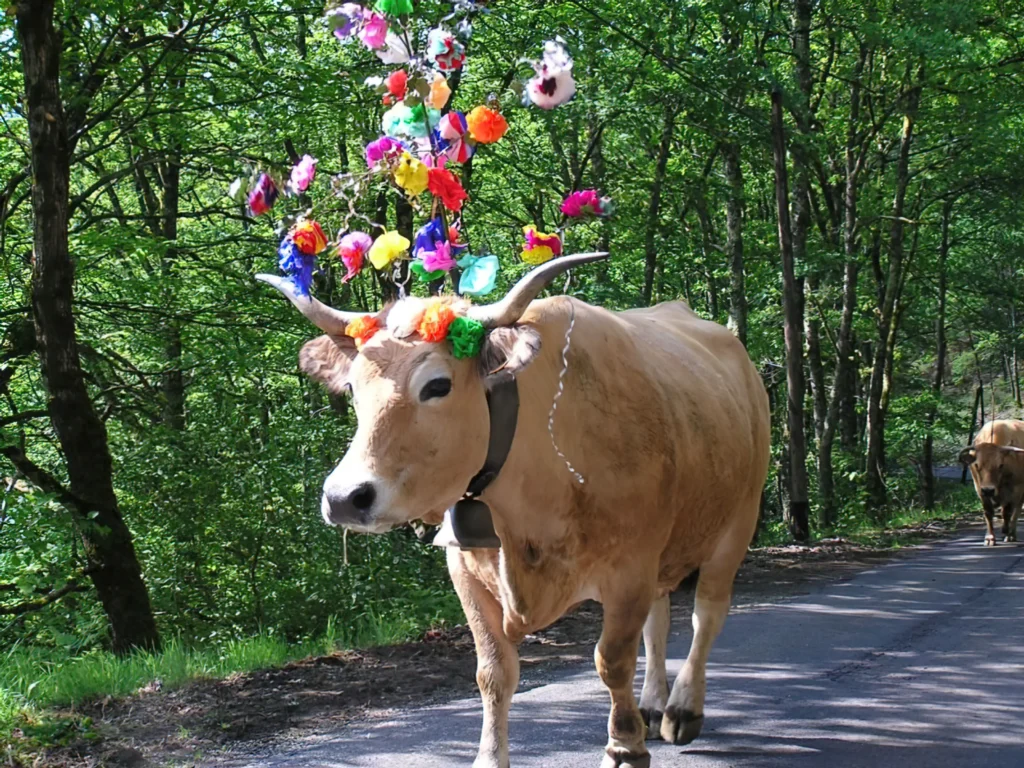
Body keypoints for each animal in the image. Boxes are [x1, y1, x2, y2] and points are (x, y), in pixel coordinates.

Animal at [257, 253, 770, 768]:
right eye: (353, 389)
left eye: (437, 385)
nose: (344, 497)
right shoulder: (464, 568)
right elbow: (493, 670)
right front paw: (490, 756)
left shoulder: (630, 567)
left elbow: (612, 660)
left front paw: (625, 746)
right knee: (659, 617)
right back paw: (651, 703)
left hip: (737, 522)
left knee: (707, 614)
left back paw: (681, 709)